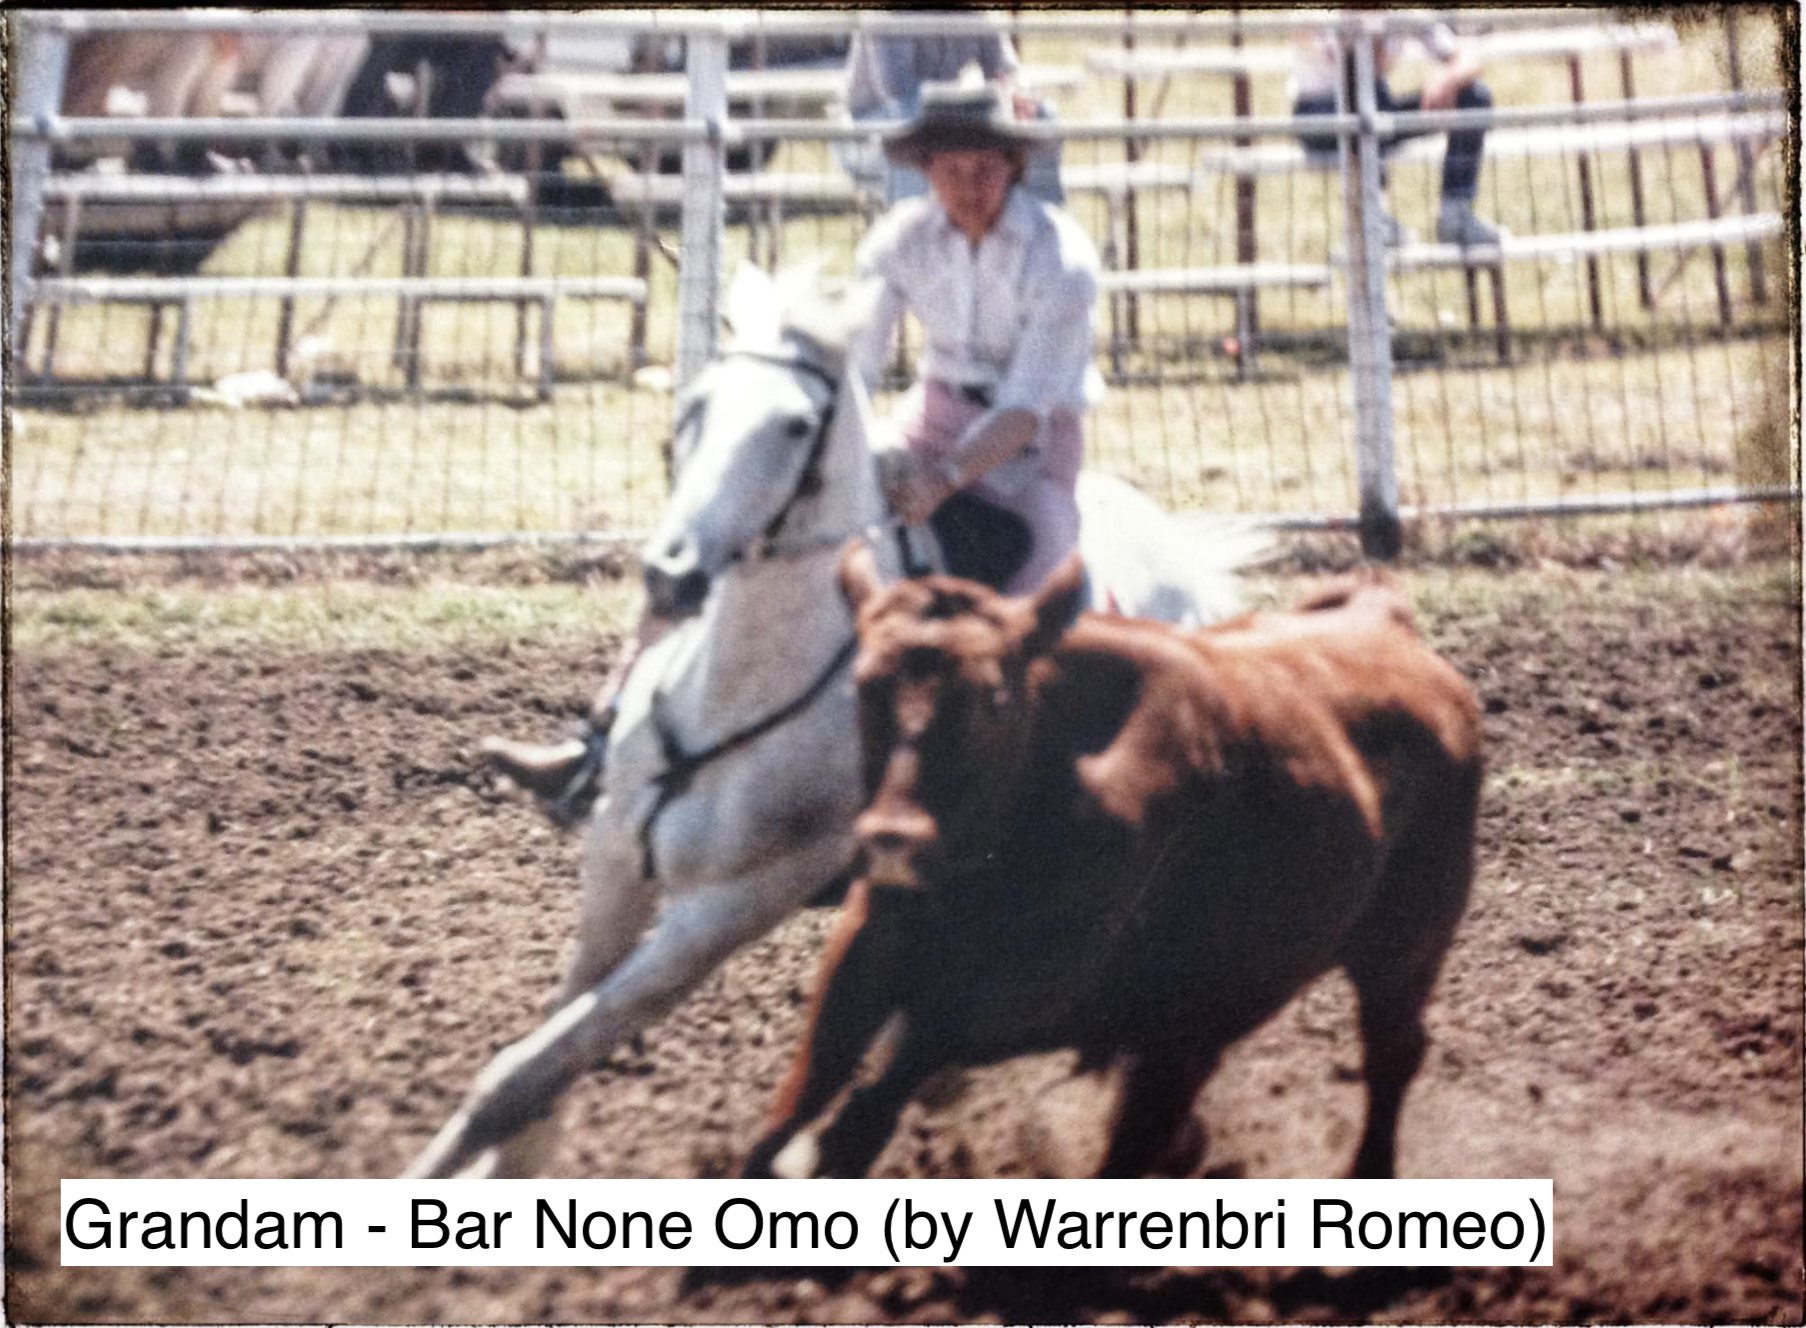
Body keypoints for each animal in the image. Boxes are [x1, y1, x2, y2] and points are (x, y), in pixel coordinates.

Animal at [403, 265, 1267, 1179]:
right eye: (698, 404)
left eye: (794, 424)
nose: (671, 573)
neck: (742, 693)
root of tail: (1191, 572)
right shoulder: (616, 867)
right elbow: (545, 1063)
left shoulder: (725, 912)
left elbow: (528, 1069)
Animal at [741, 550, 1483, 1180]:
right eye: (865, 686)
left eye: (994, 699)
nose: (894, 837)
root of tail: (1386, 625)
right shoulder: (869, 941)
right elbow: (799, 1096)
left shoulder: (1032, 983)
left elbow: (892, 1076)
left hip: (1407, 943)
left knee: (1390, 1055)